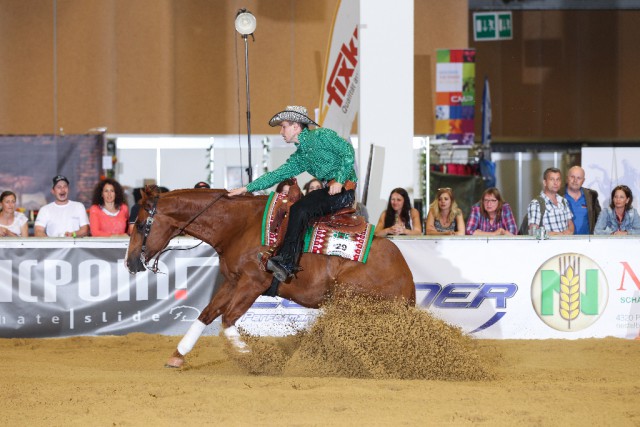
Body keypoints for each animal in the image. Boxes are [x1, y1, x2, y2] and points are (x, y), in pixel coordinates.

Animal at [125, 186, 416, 368]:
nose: (130, 263)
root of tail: (407, 277)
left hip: (351, 301)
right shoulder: (233, 281)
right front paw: (178, 355)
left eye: (139, 225)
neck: (240, 225)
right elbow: (207, 314)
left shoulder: (253, 283)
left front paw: (253, 356)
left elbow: (228, 319)